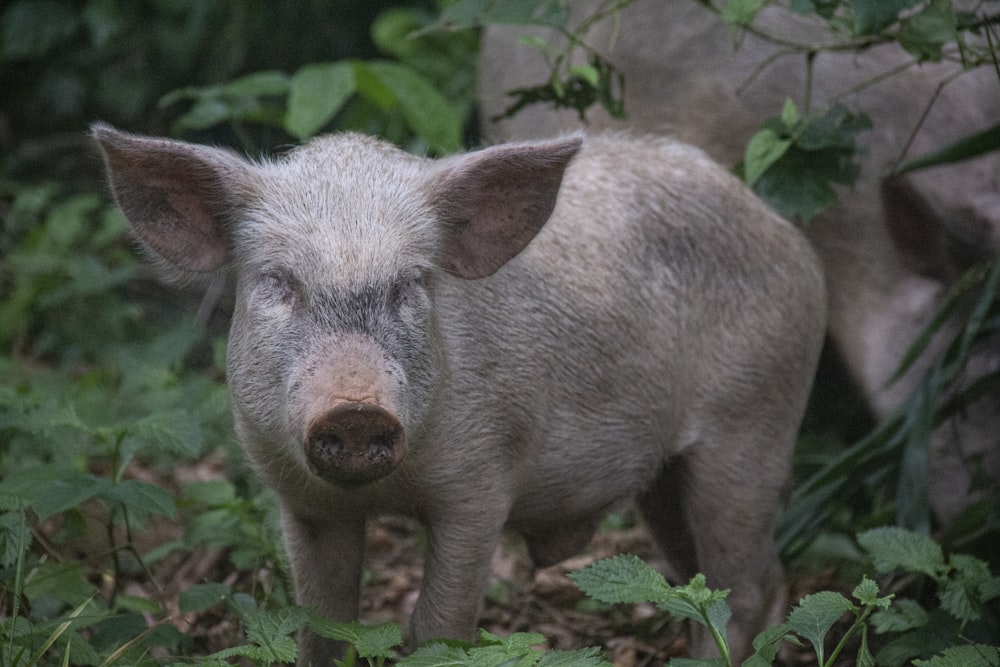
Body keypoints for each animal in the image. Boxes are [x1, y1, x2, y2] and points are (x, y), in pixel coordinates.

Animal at [94, 124, 828, 664]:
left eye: (410, 283)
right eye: (278, 281)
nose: (356, 409)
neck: (387, 493)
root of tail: (786, 233)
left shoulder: (480, 483)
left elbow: (437, 629)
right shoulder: (301, 499)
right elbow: (323, 627)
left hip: (754, 422)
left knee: (741, 585)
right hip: (668, 479)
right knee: (709, 580)